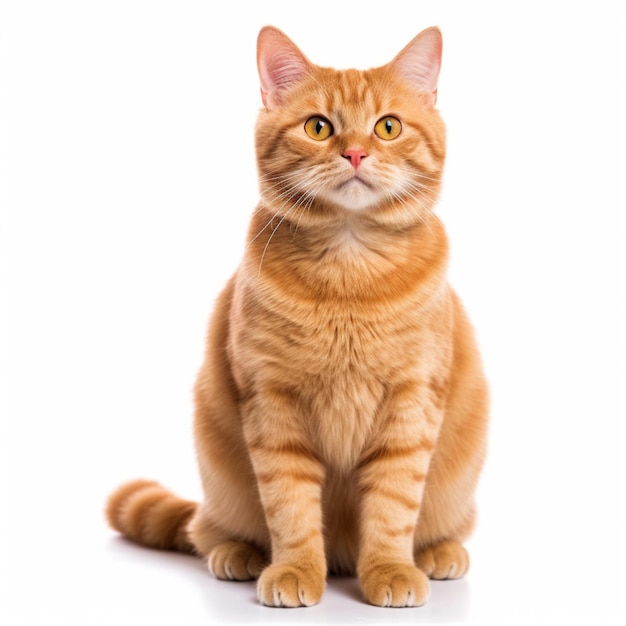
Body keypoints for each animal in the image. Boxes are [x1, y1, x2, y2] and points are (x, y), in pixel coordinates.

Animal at [106, 24, 488, 604]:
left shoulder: (412, 401)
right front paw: (296, 570)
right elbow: (289, 507)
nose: (355, 153)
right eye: (318, 127)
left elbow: (393, 505)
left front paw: (391, 569)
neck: (349, 275)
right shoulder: (273, 400)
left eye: (388, 127)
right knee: (203, 529)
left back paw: (438, 553)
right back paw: (237, 553)